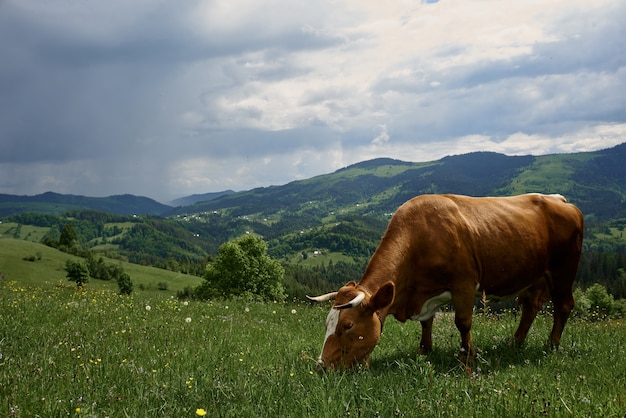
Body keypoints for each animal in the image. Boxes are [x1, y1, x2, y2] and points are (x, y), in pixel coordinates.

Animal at [308, 193, 580, 370]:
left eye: (348, 326)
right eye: (326, 323)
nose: (322, 367)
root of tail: (560, 200)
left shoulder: (464, 283)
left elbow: (463, 322)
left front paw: (466, 358)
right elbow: (426, 322)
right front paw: (424, 349)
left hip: (564, 270)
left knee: (563, 305)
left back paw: (552, 344)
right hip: (534, 276)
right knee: (530, 307)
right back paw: (516, 342)